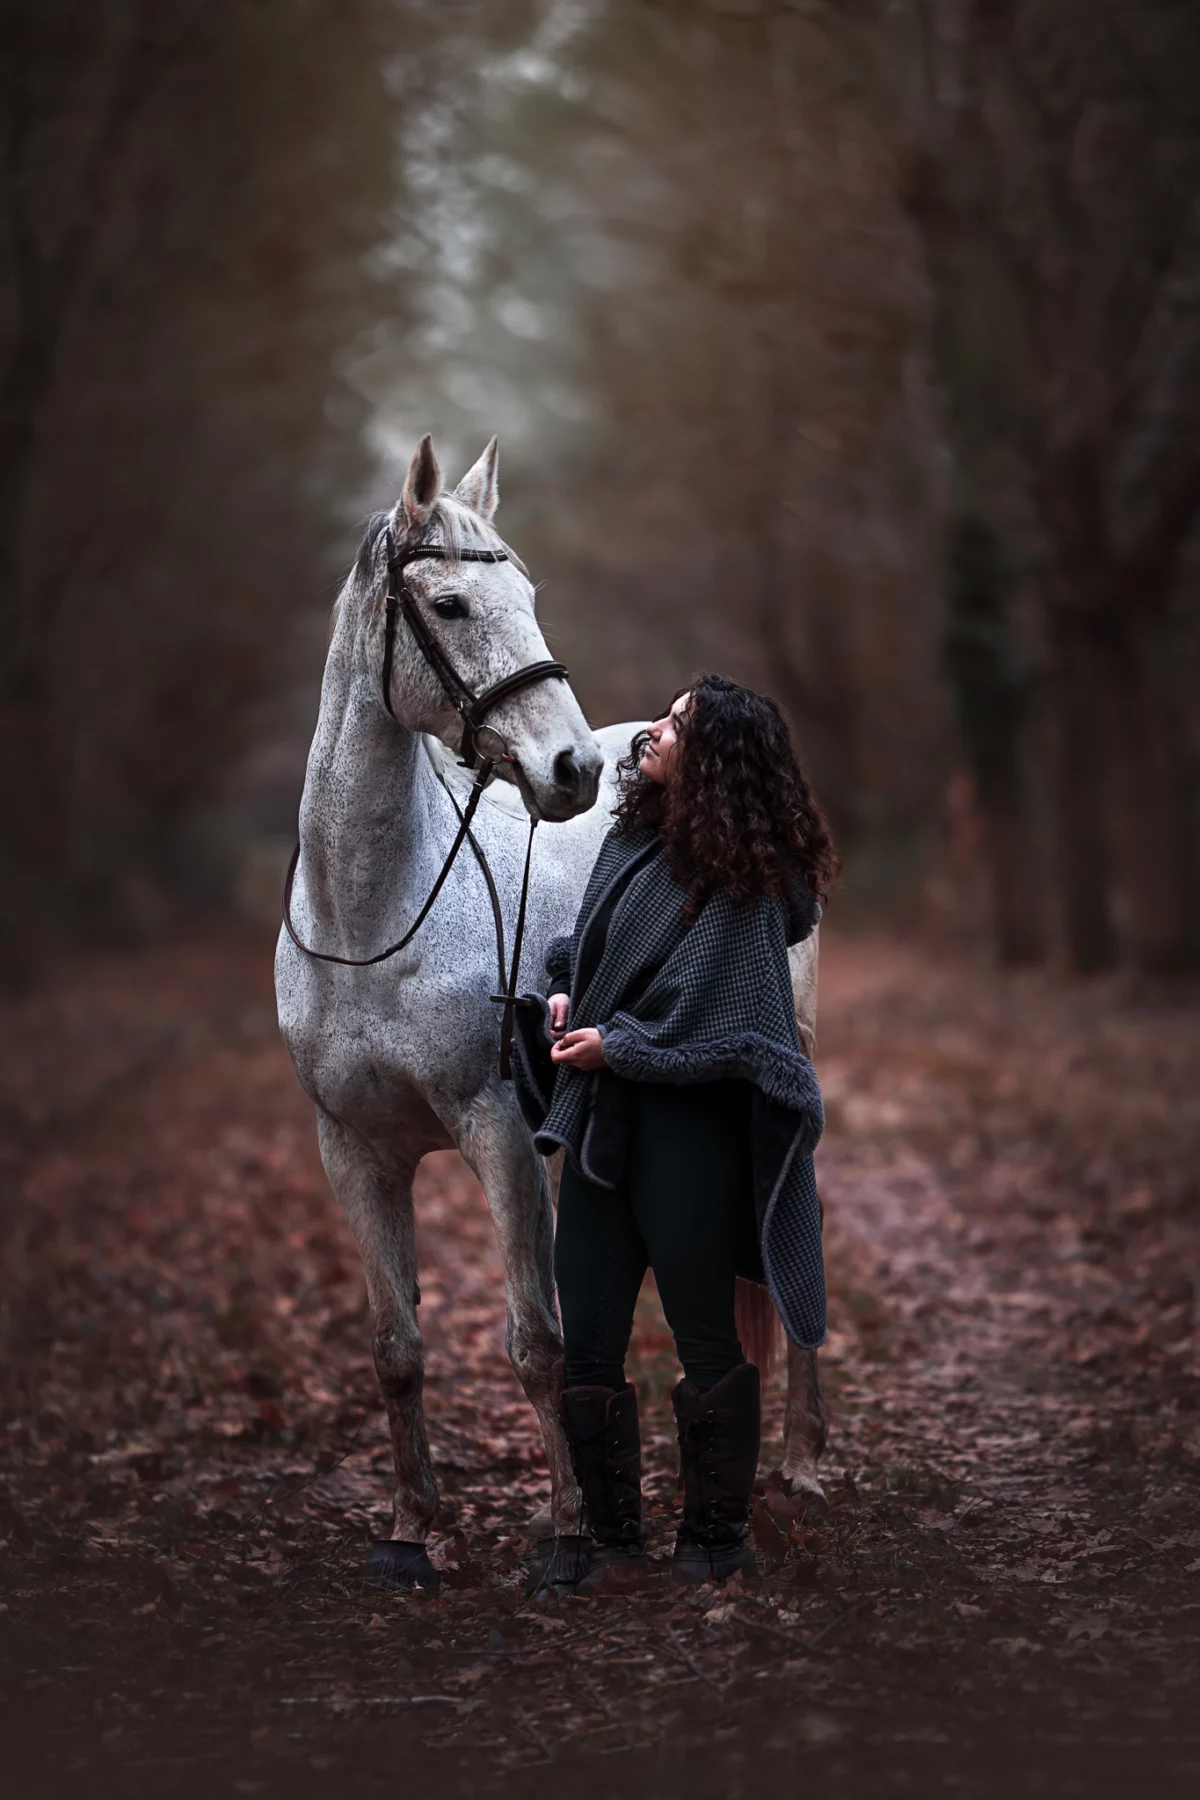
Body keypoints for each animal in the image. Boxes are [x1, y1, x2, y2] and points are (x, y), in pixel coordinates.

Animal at [275, 434, 827, 1591]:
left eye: (527, 594)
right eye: (447, 603)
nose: (572, 769)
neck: (369, 920)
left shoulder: (494, 1136)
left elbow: (535, 1342)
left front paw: (572, 1534)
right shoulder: (353, 1150)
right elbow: (396, 1350)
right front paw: (413, 1531)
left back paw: (801, 1463)